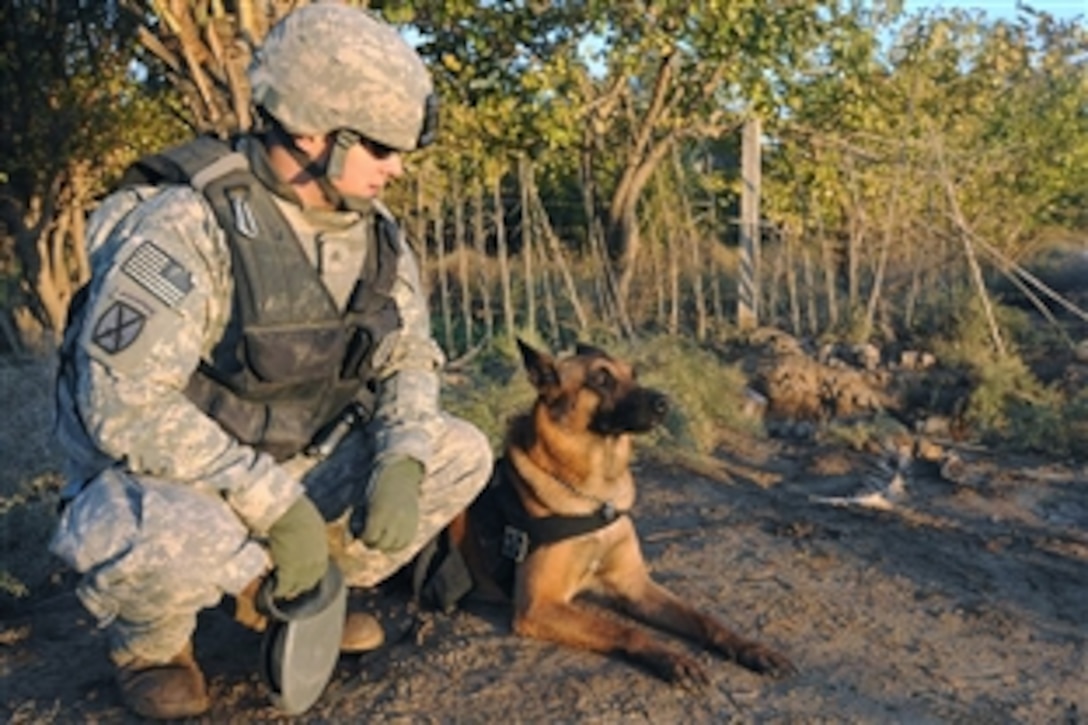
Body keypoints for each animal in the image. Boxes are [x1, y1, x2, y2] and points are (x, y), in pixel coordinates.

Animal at [450, 337, 800, 683]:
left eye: (634, 374)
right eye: (601, 379)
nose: (664, 402)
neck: (596, 499)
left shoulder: (635, 586)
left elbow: (702, 618)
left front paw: (750, 648)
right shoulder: (539, 606)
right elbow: (626, 630)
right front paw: (670, 657)